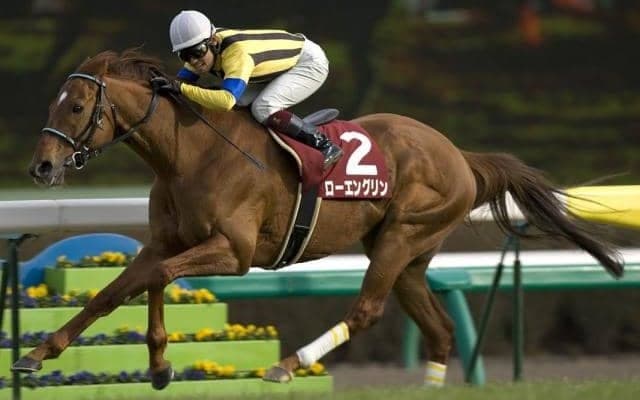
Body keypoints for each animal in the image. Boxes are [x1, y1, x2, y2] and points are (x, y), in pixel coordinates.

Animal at [19, 49, 623, 389]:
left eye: (77, 107)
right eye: (52, 104)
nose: (41, 167)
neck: (188, 154)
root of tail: (459, 154)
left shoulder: (234, 253)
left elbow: (156, 279)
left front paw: (161, 364)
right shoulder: (163, 241)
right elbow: (113, 292)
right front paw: (38, 354)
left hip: (401, 237)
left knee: (367, 311)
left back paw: (289, 364)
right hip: (409, 257)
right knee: (440, 328)